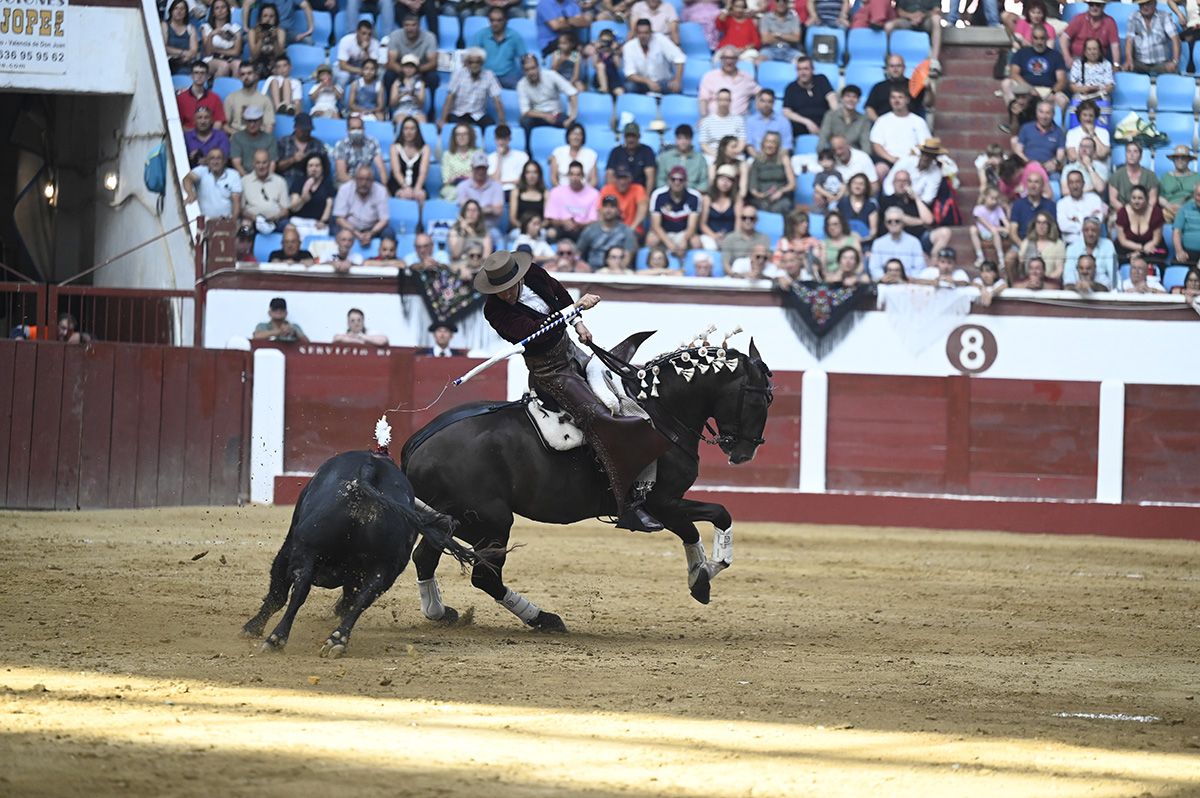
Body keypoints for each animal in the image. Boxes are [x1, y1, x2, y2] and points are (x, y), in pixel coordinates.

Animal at [399, 331, 774, 632]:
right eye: (760, 399)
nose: (744, 453)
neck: (662, 412)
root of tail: (416, 447)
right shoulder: (661, 502)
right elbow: (719, 513)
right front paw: (710, 570)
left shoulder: (665, 506)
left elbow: (691, 530)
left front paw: (700, 579)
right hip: (493, 521)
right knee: (485, 577)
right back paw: (545, 618)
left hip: (450, 520)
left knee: (425, 558)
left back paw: (439, 612)